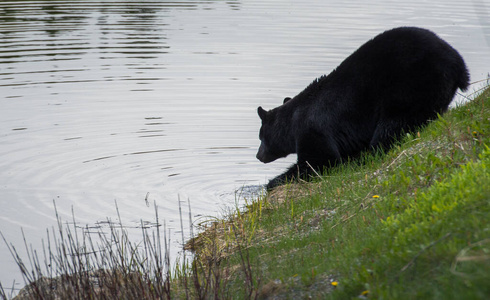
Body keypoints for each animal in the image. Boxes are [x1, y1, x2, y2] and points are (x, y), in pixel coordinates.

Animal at [255, 26, 468, 190]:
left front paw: (274, 181)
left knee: (393, 125)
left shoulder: (313, 130)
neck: (293, 122)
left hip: (409, 86)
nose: (258, 155)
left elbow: (320, 160)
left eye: (260, 137)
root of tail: (458, 64)